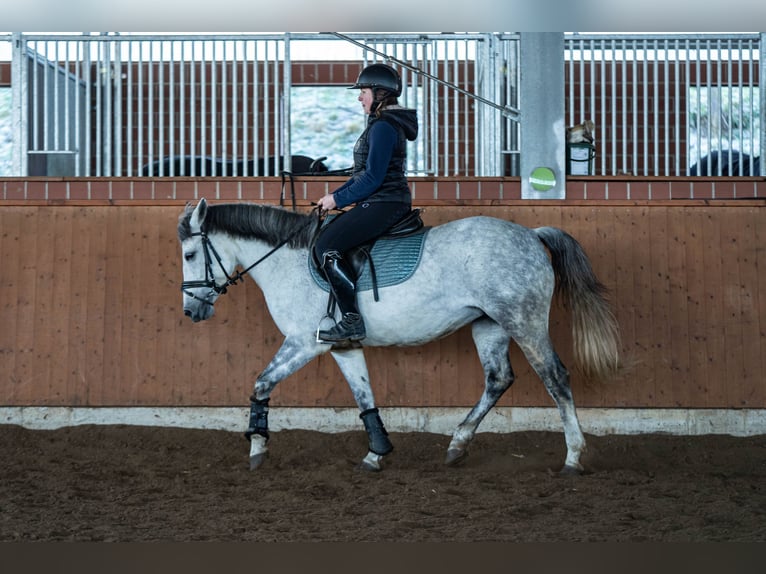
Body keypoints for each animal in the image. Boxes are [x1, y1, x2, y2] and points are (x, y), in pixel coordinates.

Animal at [180, 200, 624, 474]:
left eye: (189, 255)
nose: (191, 311)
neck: (287, 260)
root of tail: (532, 234)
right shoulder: (342, 346)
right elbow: (365, 397)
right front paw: (376, 454)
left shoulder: (305, 343)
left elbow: (261, 382)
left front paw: (257, 447)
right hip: (489, 325)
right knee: (498, 379)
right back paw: (457, 445)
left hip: (523, 320)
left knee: (555, 377)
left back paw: (573, 458)